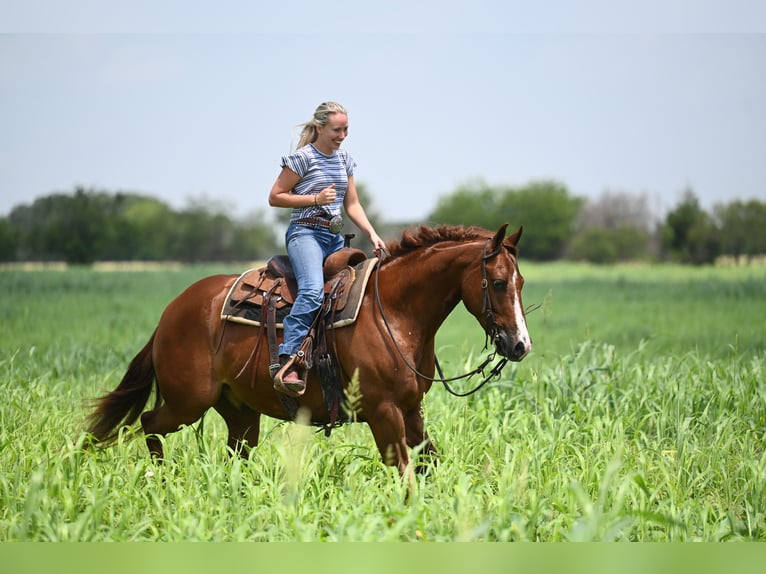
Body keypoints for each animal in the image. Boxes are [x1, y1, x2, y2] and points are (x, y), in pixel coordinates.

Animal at [85, 223, 532, 475]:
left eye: (521, 282)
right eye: (497, 282)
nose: (520, 345)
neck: (395, 310)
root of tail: (172, 312)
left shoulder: (410, 409)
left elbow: (429, 465)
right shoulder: (383, 412)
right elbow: (404, 472)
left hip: (240, 413)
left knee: (234, 456)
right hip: (188, 402)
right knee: (147, 422)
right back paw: (160, 480)